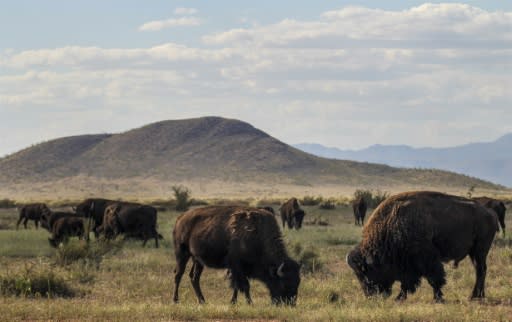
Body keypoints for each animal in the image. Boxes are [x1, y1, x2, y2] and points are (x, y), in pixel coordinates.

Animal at [172, 205, 300, 306]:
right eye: (283, 284)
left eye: (297, 282)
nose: (290, 304)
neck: (258, 235)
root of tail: (180, 219)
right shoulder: (236, 266)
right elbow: (244, 285)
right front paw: (250, 303)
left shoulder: (240, 269)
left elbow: (237, 287)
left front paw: (233, 302)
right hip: (182, 254)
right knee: (178, 275)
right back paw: (176, 300)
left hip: (197, 260)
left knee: (194, 277)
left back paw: (202, 301)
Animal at [346, 191, 498, 302]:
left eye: (365, 272)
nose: (370, 296)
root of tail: (490, 214)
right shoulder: (408, 266)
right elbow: (408, 283)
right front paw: (400, 298)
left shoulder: (427, 260)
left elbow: (433, 279)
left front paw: (437, 298)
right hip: (474, 253)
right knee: (480, 270)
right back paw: (478, 295)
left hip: (479, 251)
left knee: (480, 270)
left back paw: (474, 296)